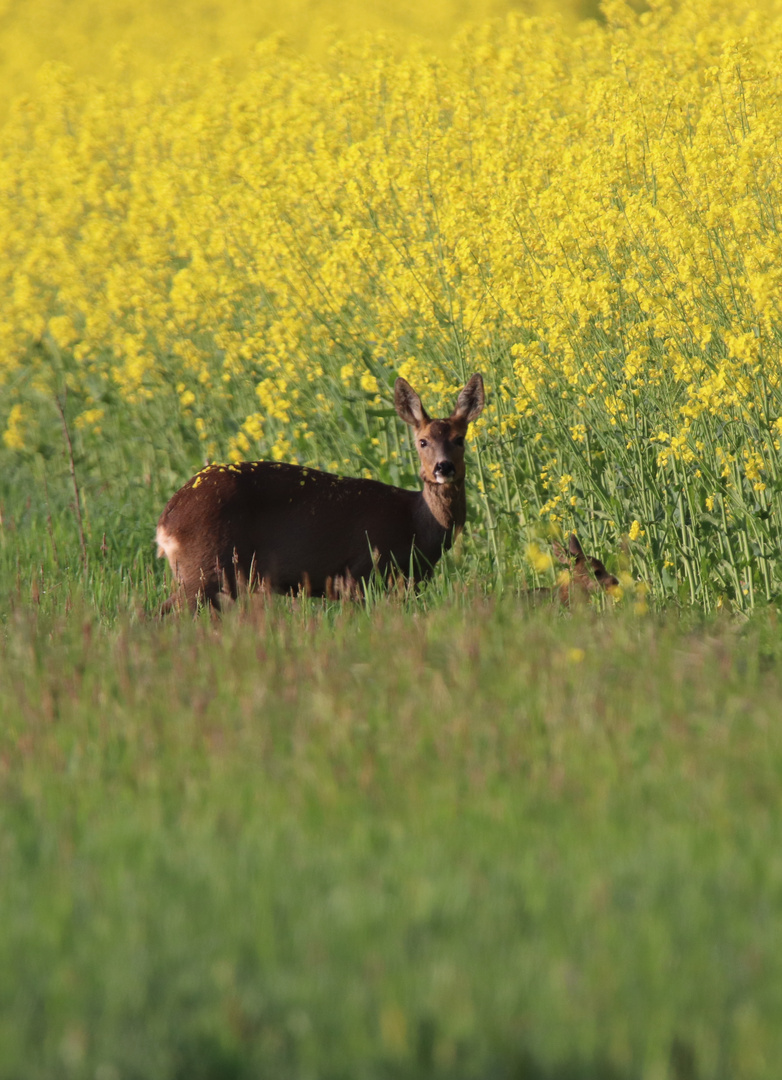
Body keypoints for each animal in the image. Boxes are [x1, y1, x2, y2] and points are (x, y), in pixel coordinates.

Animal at [154, 373, 481, 613]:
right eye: (423, 441)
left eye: (460, 439)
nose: (444, 467)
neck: (416, 524)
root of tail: (166, 520)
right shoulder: (360, 572)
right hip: (205, 566)